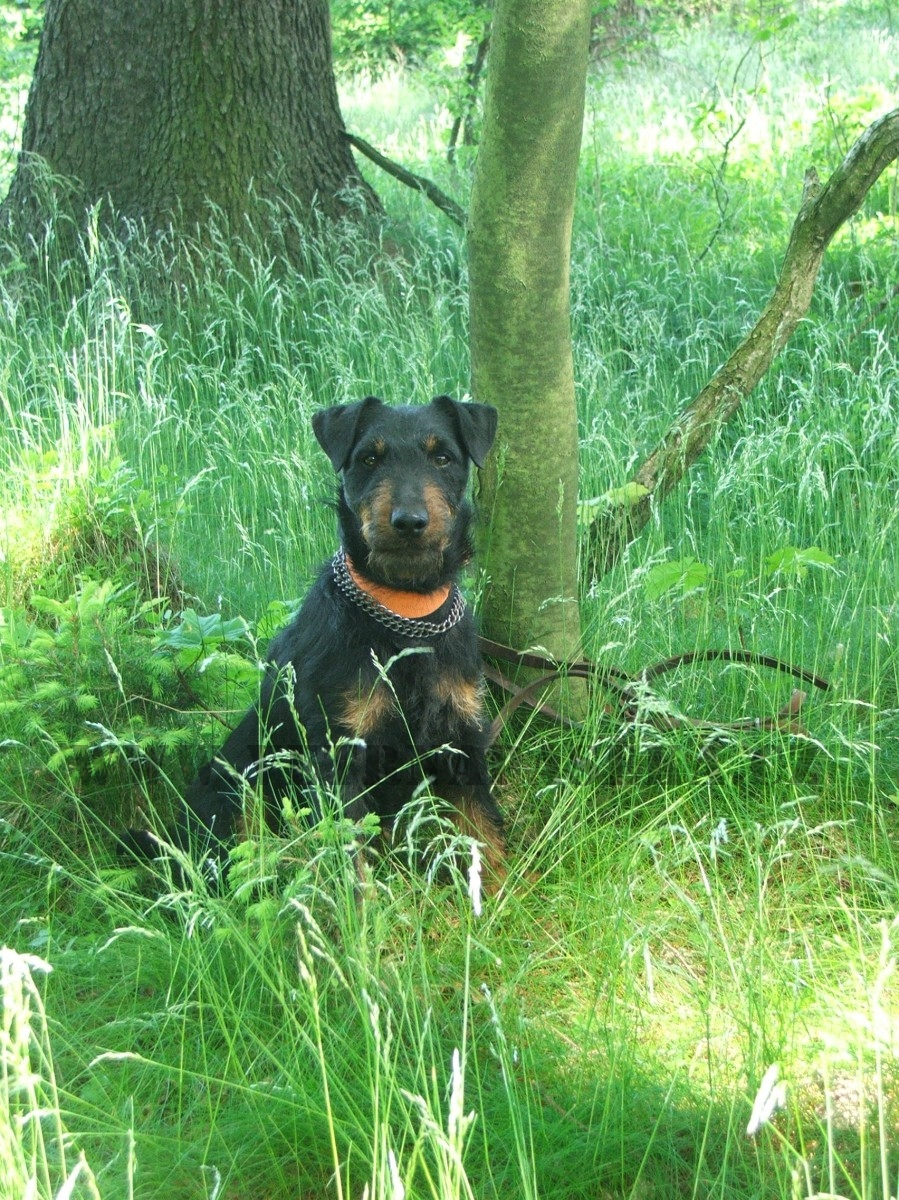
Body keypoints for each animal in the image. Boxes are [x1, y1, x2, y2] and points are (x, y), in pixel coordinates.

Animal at [159, 395, 505, 885]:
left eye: (442, 457)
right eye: (369, 459)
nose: (409, 522)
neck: (404, 615)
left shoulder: (462, 740)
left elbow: (484, 832)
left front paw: (501, 891)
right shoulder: (339, 753)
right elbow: (351, 857)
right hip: (237, 786)